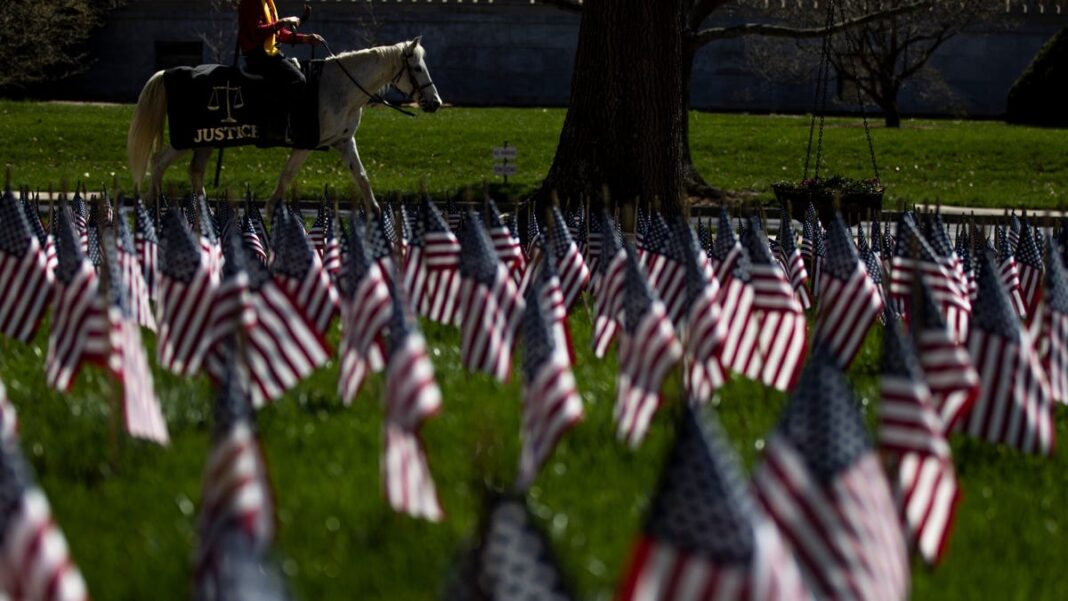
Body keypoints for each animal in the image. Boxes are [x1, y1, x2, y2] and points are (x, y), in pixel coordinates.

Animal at [127, 37, 440, 213]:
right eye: (417, 68)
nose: (435, 102)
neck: (340, 87)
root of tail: (171, 72)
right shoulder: (307, 143)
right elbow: (287, 175)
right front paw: (269, 209)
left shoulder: (343, 142)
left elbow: (361, 177)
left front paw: (375, 212)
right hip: (186, 138)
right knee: (158, 162)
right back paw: (154, 207)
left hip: (207, 141)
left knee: (195, 171)